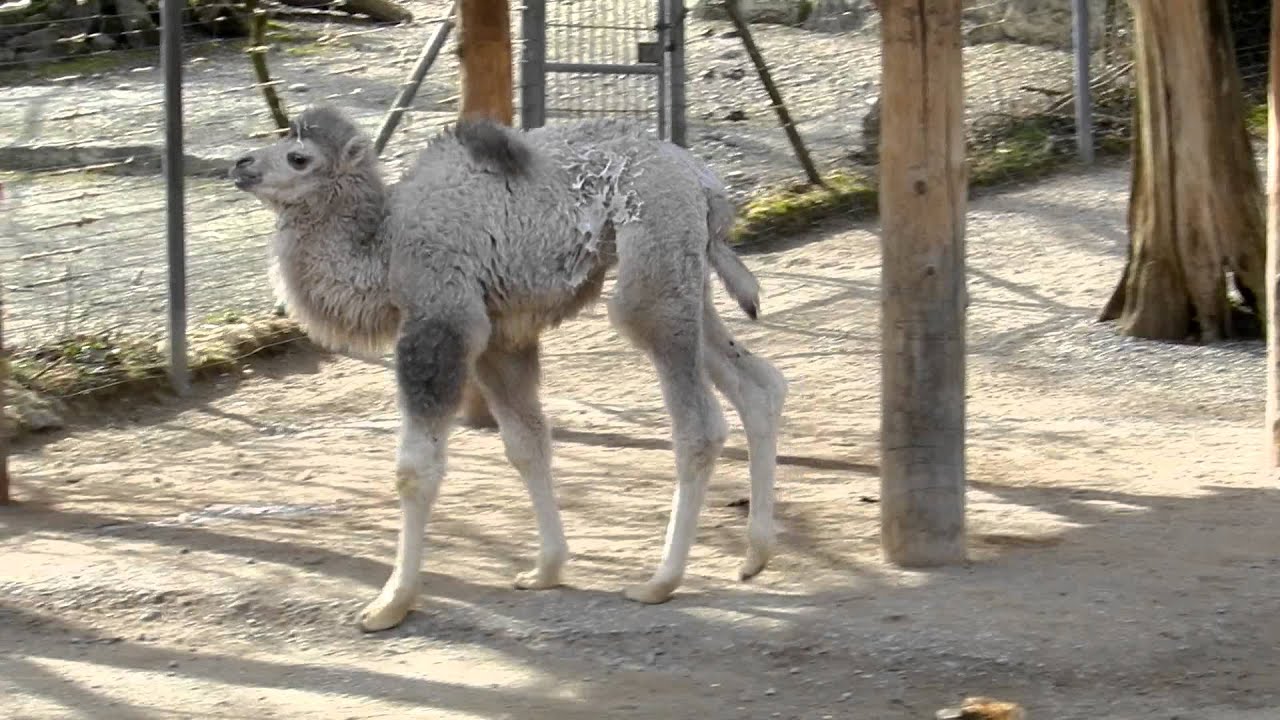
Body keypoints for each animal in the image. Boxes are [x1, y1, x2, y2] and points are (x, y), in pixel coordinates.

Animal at [231, 102, 788, 627]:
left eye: (298, 158)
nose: (240, 165)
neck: (385, 252)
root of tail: (701, 178)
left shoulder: (441, 321)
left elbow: (415, 469)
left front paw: (391, 603)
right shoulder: (499, 339)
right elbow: (526, 446)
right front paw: (546, 569)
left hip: (652, 259)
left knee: (698, 423)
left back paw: (660, 581)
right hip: (685, 274)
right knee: (760, 384)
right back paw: (754, 556)